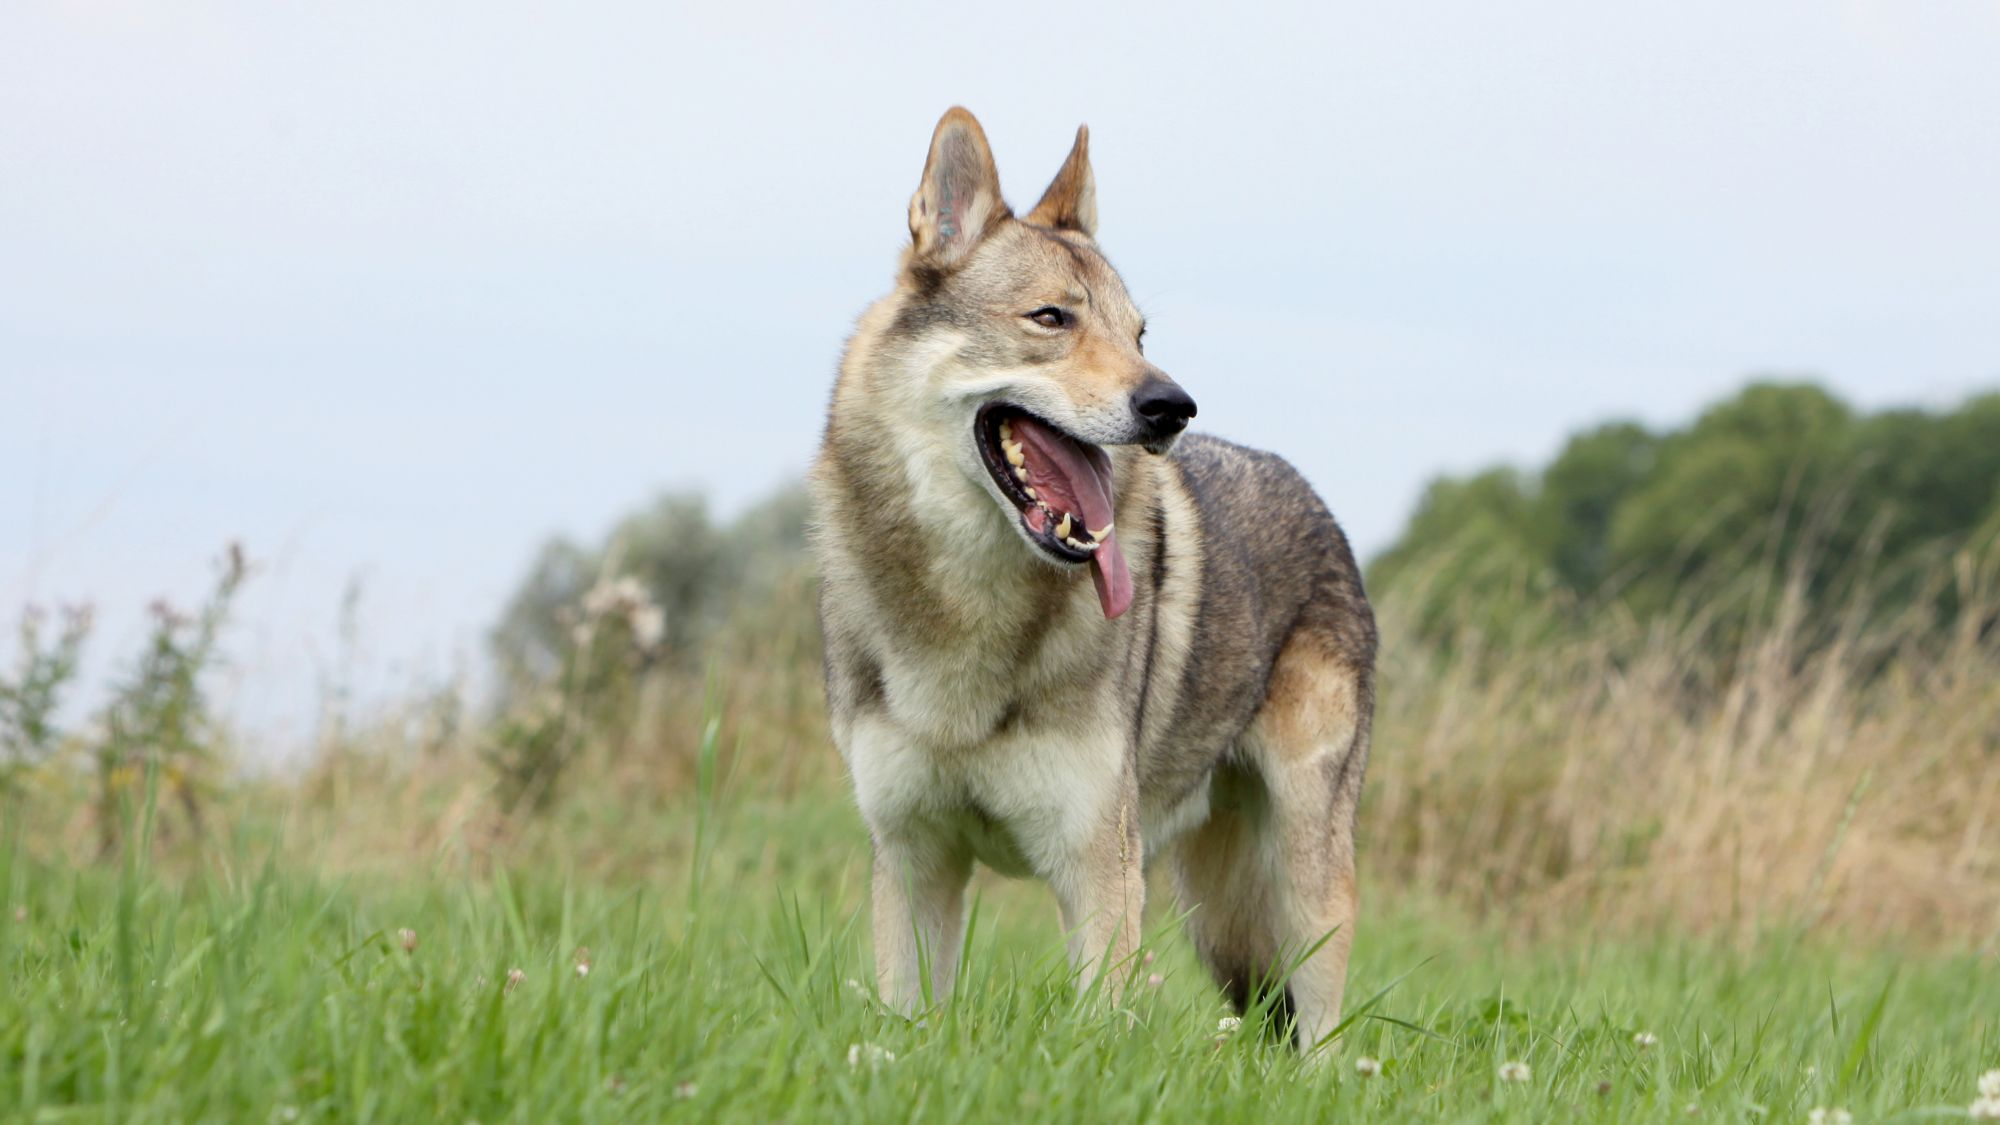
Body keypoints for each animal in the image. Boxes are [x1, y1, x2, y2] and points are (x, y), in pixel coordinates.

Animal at [812, 107, 1376, 1048]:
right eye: (1052, 318)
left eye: (1137, 334)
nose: (1172, 406)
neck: (969, 616)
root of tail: (1313, 495)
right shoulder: (914, 860)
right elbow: (904, 1020)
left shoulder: (1099, 876)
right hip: (1210, 905)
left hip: (1300, 881)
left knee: (1324, 1035)